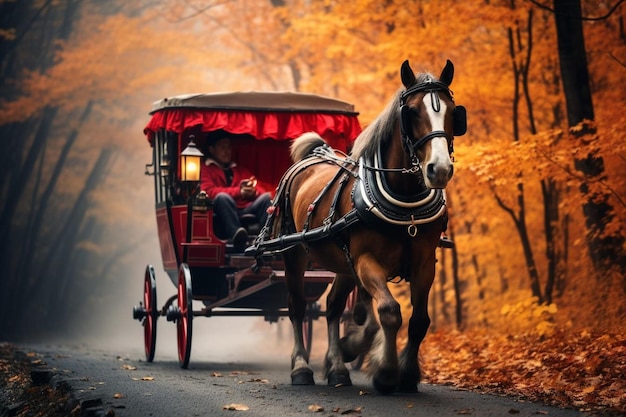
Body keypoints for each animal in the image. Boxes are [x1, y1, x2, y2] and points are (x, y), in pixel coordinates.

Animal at [254, 58, 464, 394]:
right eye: (412, 111)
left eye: (453, 111)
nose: (439, 169)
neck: (406, 208)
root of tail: (313, 155)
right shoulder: (366, 261)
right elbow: (389, 311)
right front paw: (386, 372)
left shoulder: (423, 263)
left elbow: (418, 320)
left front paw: (405, 373)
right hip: (294, 253)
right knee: (297, 305)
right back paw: (301, 368)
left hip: (342, 263)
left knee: (333, 305)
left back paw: (338, 368)